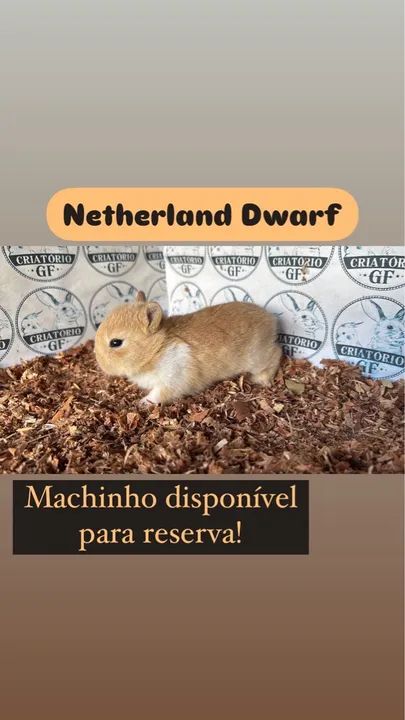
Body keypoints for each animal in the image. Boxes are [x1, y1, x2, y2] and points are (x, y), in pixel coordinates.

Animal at [94, 290, 282, 405]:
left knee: (277, 353)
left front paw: (142, 403)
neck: (156, 350)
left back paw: (261, 380)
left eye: (116, 342)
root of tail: (271, 319)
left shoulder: (171, 381)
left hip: (258, 357)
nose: (99, 362)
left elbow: (158, 395)